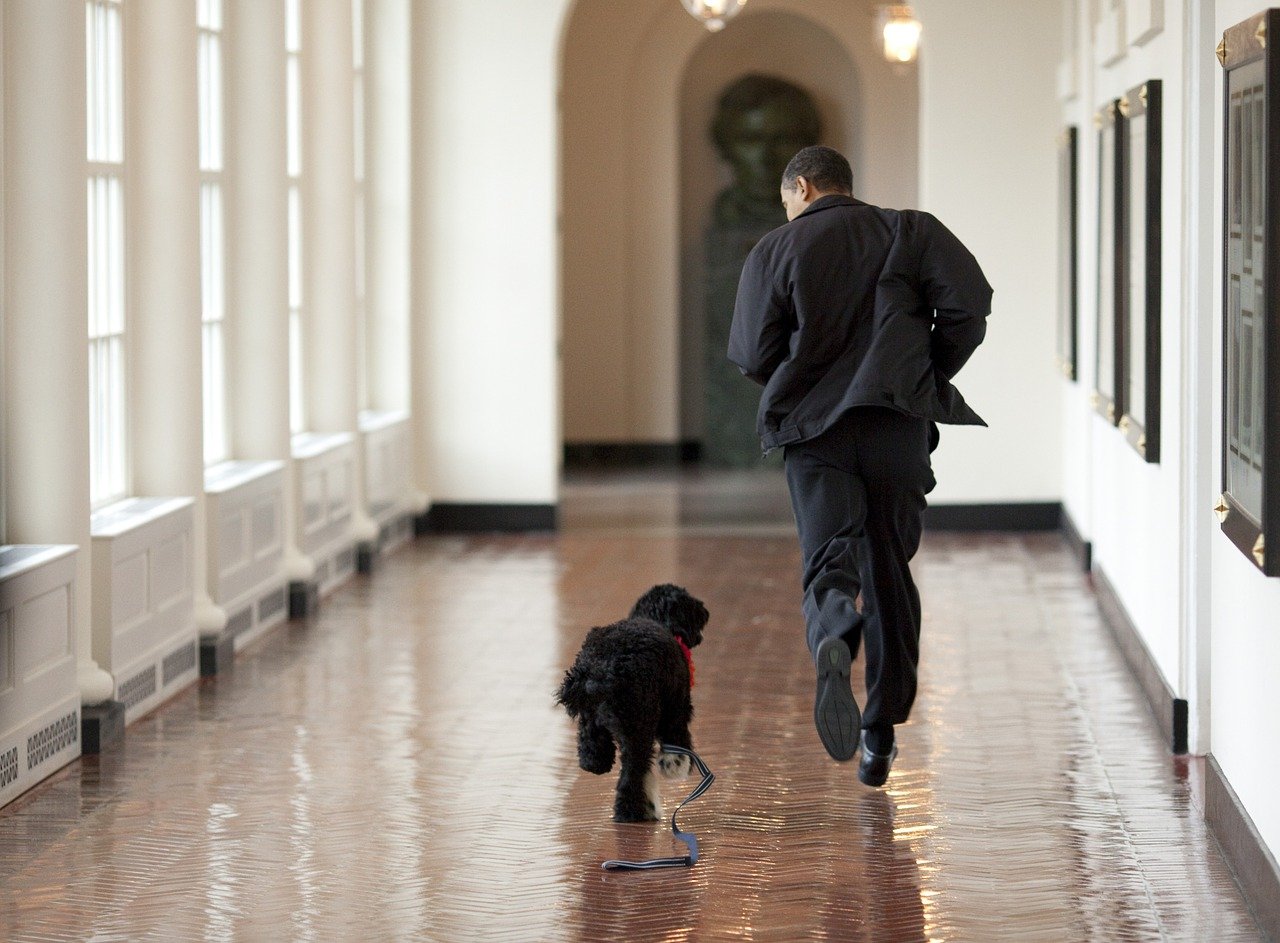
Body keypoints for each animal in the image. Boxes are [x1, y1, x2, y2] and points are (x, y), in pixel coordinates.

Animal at [555, 586, 711, 818]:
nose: (706, 613)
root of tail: (602, 669)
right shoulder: (676, 709)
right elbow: (677, 743)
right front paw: (675, 766)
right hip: (639, 727)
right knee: (632, 774)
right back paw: (631, 811)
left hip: (594, 721)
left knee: (592, 753)